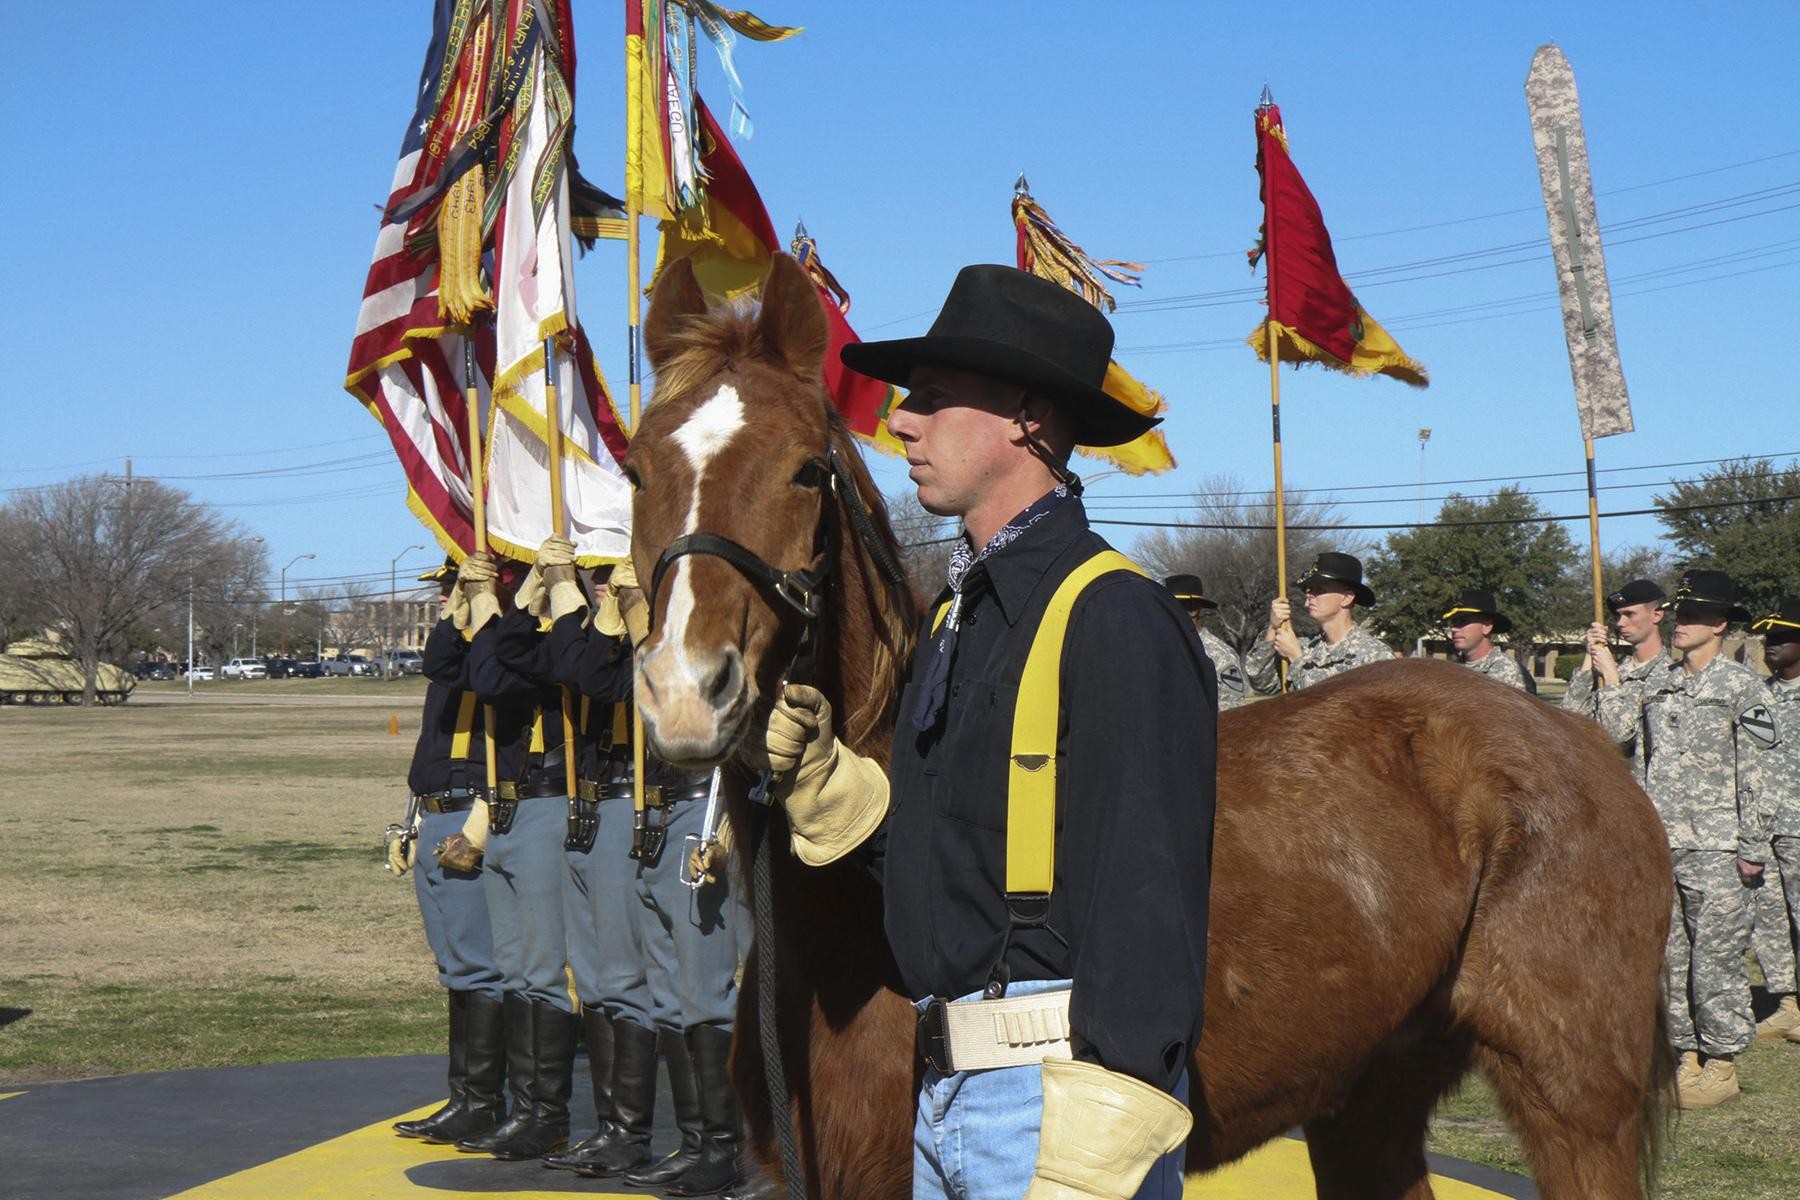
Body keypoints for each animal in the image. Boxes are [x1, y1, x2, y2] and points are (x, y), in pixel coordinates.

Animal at [630, 253, 1670, 1200]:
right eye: (637, 467)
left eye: (807, 468)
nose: (685, 690)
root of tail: (1582, 743)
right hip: (1368, 1098)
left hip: (1575, 1103)